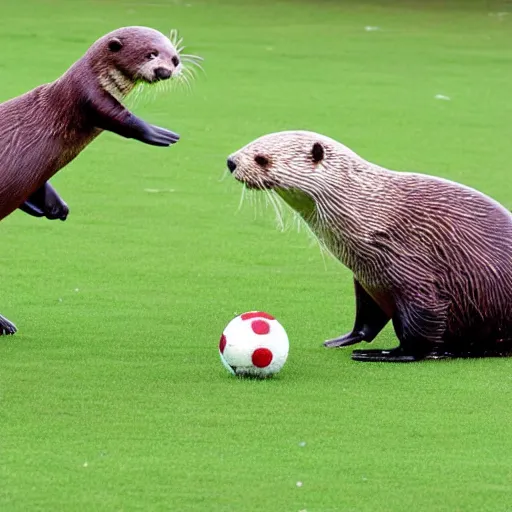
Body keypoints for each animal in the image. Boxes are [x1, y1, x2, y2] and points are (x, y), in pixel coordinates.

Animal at [0, 26, 200, 336]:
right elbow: (113, 115)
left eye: (175, 59)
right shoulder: (85, 93)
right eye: (151, 54)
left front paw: (55, 206)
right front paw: (156, 132)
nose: (165, 71)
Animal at [228, 132, 512, 364]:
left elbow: (421, 330)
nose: (231, 161)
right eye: (250, 143)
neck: (369, 213)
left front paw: (386, 354)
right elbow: (366, 318)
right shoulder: (367, 278)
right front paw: (343, 340)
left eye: (261, 159)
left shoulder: (414, 272)